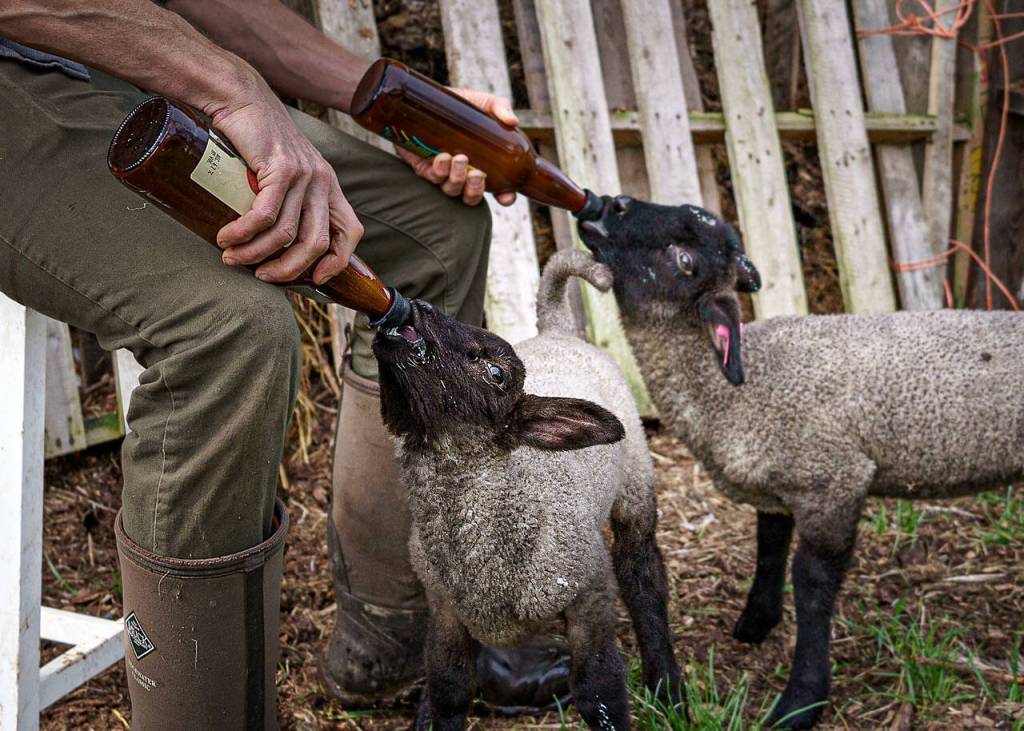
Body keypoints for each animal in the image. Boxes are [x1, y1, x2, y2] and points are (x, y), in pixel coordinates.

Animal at [372, 249, 681, 730]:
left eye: (496, 372)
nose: (416, 308)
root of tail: (557, 328)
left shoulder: (588, 596)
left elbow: (599, 692)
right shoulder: (445, 610)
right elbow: (449, 687)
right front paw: (432, 713)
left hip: (635, 481)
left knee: (642, 574)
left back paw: (666, 686)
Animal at [576, 194, 1024, 729]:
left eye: (684, 260)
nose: (611, 204)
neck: (735, 387)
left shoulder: (832, 479)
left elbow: (811, 586)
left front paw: (801, 702)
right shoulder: (779, 482)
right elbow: (769, 546)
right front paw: (755, 623)